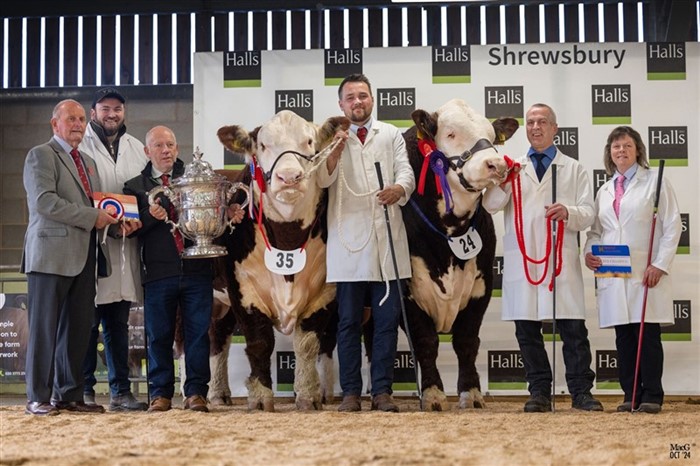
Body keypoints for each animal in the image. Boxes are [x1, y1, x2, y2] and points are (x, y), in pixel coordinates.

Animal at [212, 111, 346, 410]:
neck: (288, 239)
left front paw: (307, 395)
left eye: (309, 141)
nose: (289, 177)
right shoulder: (242, 290)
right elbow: (259, 341)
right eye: (262, 145)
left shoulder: (325, 291)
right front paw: (261, 398)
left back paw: (221, 393)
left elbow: (307, 343)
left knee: (219, 335)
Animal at [400, 99, 520, 412]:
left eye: (492, 137)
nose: (496, 164)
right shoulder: (406, 291)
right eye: (451, 133)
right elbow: (426, 341)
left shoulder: (481, 286)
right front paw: (432, 395)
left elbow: (466, 342)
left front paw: (471, 393)